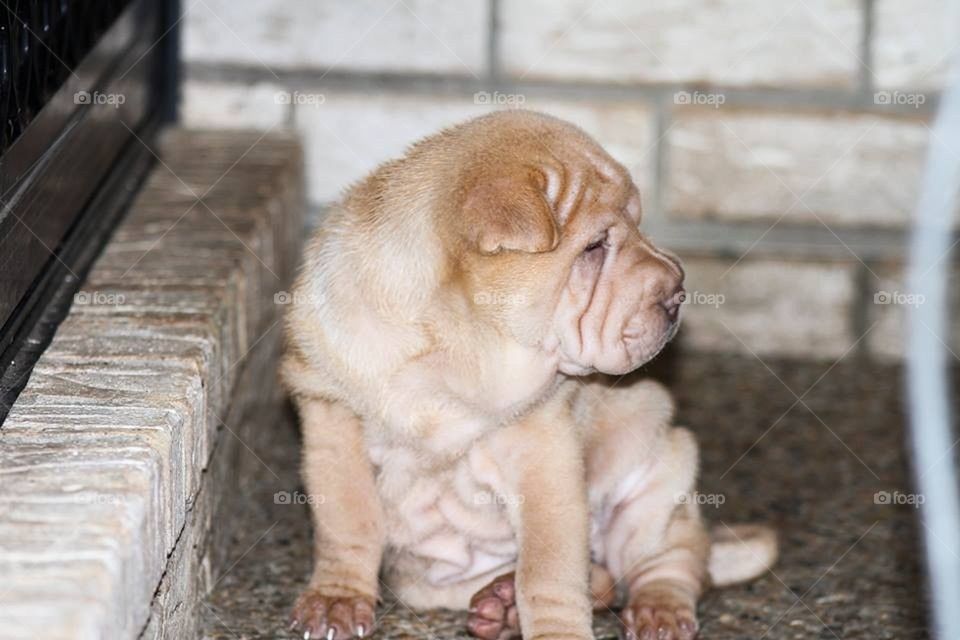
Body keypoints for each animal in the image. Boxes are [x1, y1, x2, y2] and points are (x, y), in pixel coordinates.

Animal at [282, 111, 776, 640]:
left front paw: (557, 629)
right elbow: (347, 519)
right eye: (595, 246)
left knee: (669, 563)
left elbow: (548, 566)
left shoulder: (540, 451)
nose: (678, 290)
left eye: (636, 222)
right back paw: (501, 605)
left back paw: (655, 610)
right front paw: (335, 599)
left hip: (660, 471)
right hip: (430, 580)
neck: (455, 344)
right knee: (600, 578)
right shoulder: (333, 419)